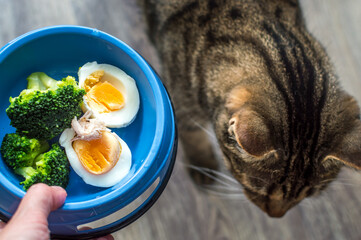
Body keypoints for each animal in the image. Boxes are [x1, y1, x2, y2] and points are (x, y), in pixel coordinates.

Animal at [139, 0, 360, 218]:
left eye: (307, 196)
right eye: (258, 189)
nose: (275, 216)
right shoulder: (179, 97)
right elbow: (191, 134)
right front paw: (203, 166)